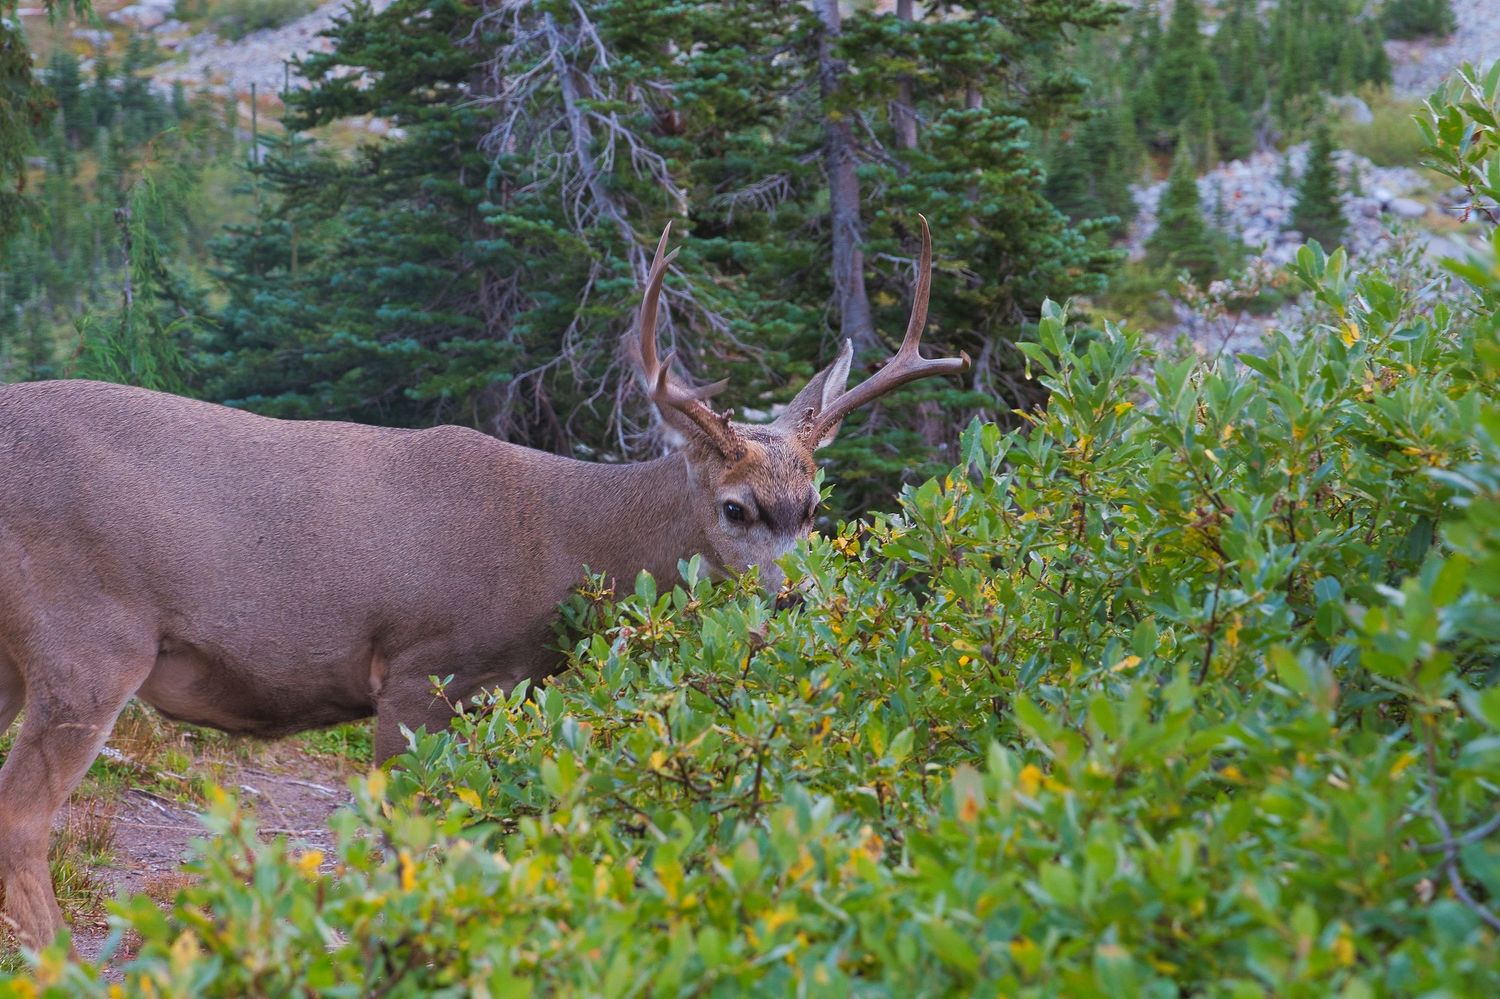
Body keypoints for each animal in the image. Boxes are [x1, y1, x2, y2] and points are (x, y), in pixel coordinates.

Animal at [0, 217, 968, 949]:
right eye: (735, 507)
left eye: (814, 505)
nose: (799, 600)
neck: (556, 539)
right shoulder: (418, 668)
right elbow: (400, 842)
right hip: (89, 636)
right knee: (22, 817)